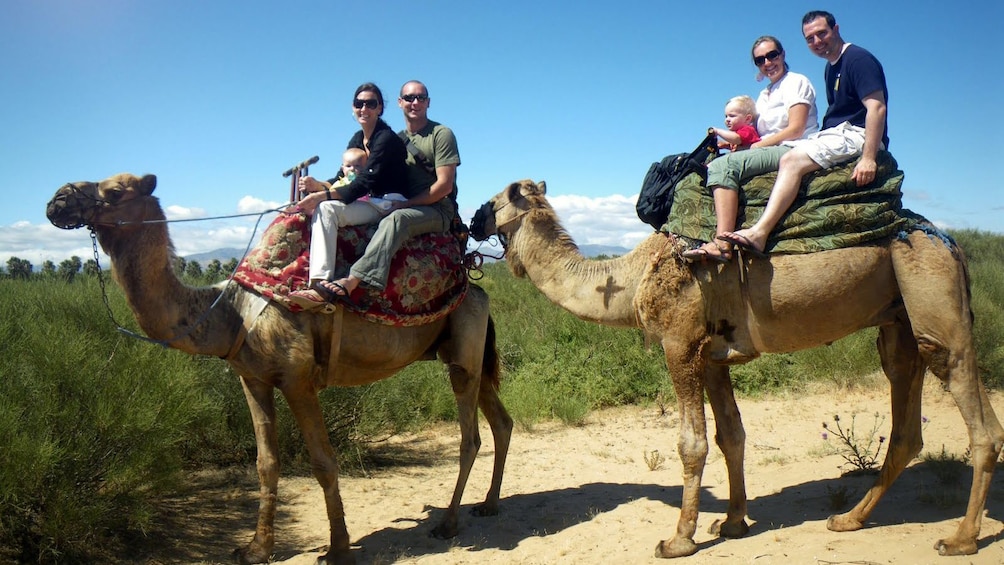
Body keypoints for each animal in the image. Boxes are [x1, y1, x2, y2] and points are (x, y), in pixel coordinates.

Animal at [44, 173, 514, 565]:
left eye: (115, 190)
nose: (56, 200)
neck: (230, 312)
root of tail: (475, 284)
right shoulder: (252, 379)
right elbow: (266, 462)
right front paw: (256, 549)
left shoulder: (298, 380)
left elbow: (323, 462)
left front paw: (338, 550)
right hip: (461, 350)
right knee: (500, 420)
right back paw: (489, 505)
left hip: (463, 347)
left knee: (470, 437)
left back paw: (448, 524)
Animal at [469, 178, 1003, 557]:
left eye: (492, 201)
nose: (469, 222)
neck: (632, 277)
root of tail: (952, 242)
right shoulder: (711, 356)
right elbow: (731, 434)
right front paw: (730, 523)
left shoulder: (679, 343)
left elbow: (691, 443)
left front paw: (678, 539)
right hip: (896, 320)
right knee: (906, 421)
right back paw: (850, 519)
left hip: (932, 288)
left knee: (974, 409)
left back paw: (960, 538)